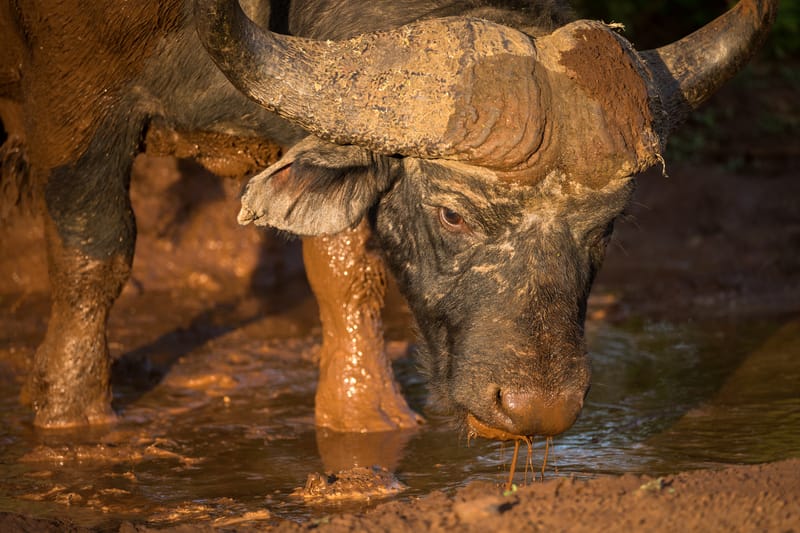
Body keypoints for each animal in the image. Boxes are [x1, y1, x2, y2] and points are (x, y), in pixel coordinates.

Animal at [0, 0, 776, 443]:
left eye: (606, 226)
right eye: (453, 213)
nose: (540, 409)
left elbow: (344, 269)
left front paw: (365, 416)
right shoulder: (73, 106)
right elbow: (94, 254)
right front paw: (70, 414)